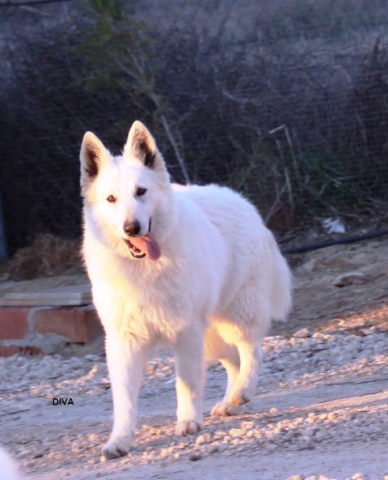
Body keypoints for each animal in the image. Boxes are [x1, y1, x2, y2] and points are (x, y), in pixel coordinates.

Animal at [79, 120, 292, 458]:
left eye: (141, 192)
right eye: (111, 199)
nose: (131, 228)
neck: (143, 270)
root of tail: (244, 204)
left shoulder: (185, 332)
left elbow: (187, 383)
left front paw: (189, 422)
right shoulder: (124, 342)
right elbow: (124, 399)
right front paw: (120, 440)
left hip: (235, 319)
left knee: (253, 353)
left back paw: (242, 393)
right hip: (212, 336)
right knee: (233, 361)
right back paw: (230, 403)